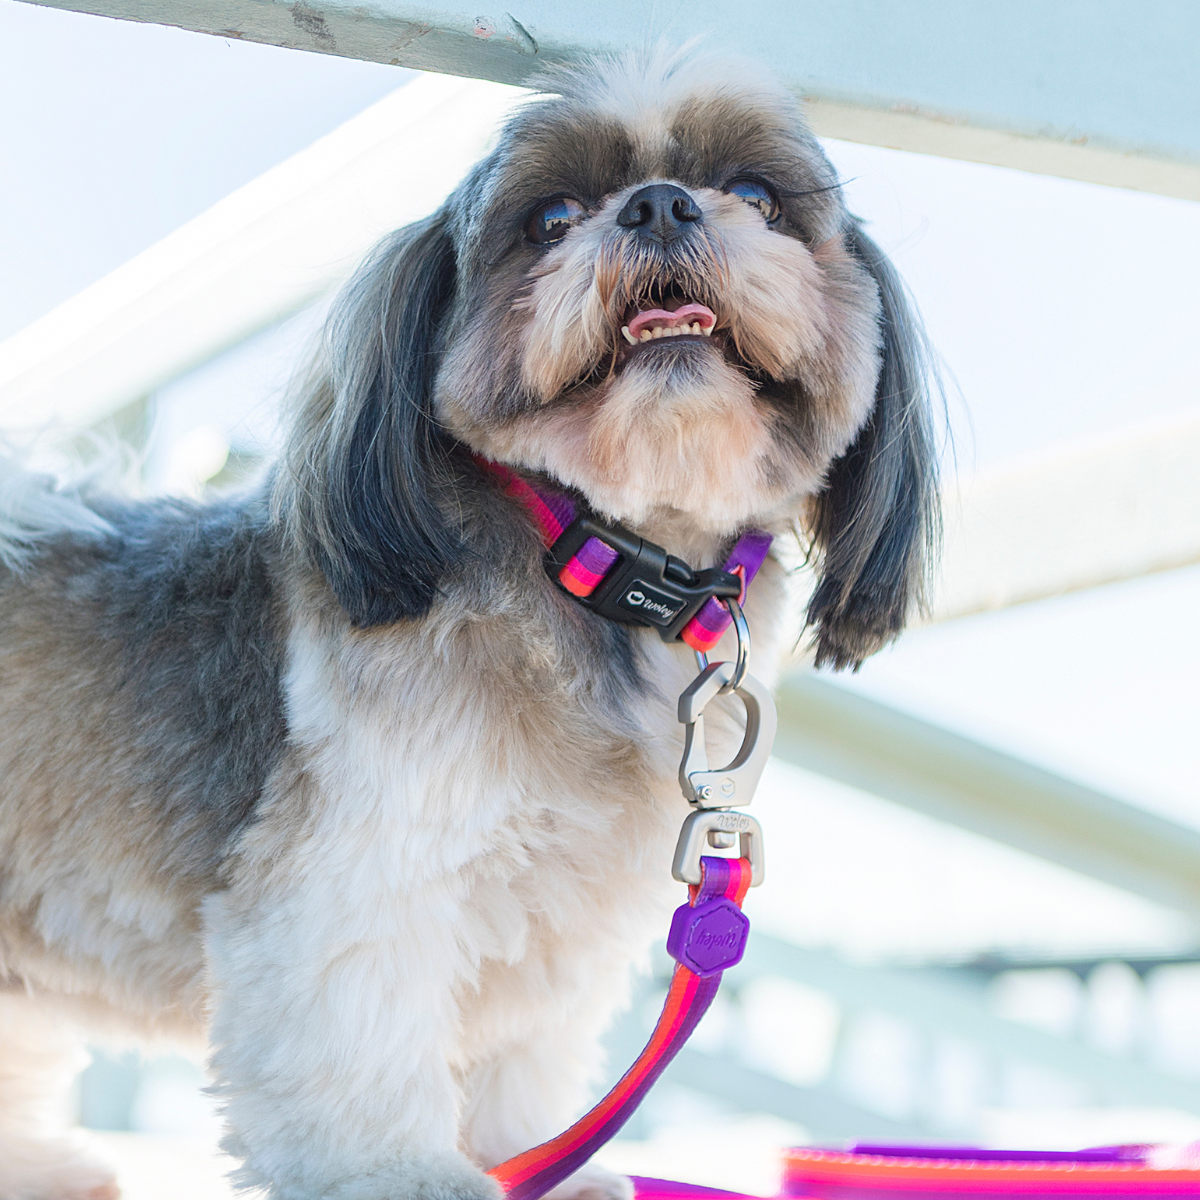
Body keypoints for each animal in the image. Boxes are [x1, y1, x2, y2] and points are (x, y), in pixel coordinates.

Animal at [0, 42, 936, 1200]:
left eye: (758, 197)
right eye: (552, 217)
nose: (660, 203)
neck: (598, 566)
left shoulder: (561, 904)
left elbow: (518, 1047)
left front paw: (535, 1155)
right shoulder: (366, 863)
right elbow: (362, 1026)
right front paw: (396, 1169)